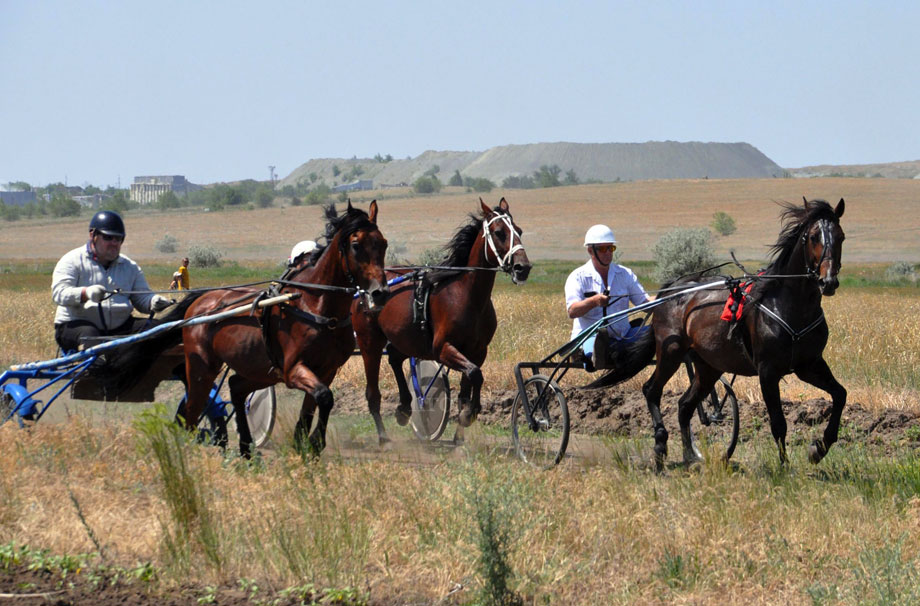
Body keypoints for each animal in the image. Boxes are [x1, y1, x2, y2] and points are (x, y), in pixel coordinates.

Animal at [181, 202, 390, 458]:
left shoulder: (327, 369)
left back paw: (246, 446)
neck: (315, 306)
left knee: (236, 387)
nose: (380, 293)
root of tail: (198, 303)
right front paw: (314, 441)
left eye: (383, 243)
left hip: (261, 371)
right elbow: (325, 397)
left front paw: (305, 441)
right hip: (202, 369)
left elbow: (315, 404)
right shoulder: (293, 369)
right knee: (192, 411)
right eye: (356, 245)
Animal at [352, 200, 532, 446]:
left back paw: (405, 407)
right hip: (369, 342)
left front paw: (460, 434)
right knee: (373, 392)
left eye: (519, 231)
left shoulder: (478, 351)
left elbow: (468, 385)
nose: (522, 268)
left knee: (396, 360)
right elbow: (475, 373)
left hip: (403, 339)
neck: (467, 296)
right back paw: (383, 436)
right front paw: (471, 413)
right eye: (499, 232)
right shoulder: (442, 348)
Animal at [592, 200, 844, 470]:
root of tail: (672, 291)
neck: (790, 307)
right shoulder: (768, 371)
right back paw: (660, 447)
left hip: (708, 366)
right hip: (670, 352)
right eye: (813, 236)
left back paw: (690, 456)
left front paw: (819, 448)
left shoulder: (809, 365)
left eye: (841, 236)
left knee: (685, 406)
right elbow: (778, 423)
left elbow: (840, 395)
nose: (828, 281)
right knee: (652, 390)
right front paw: (784, 468)